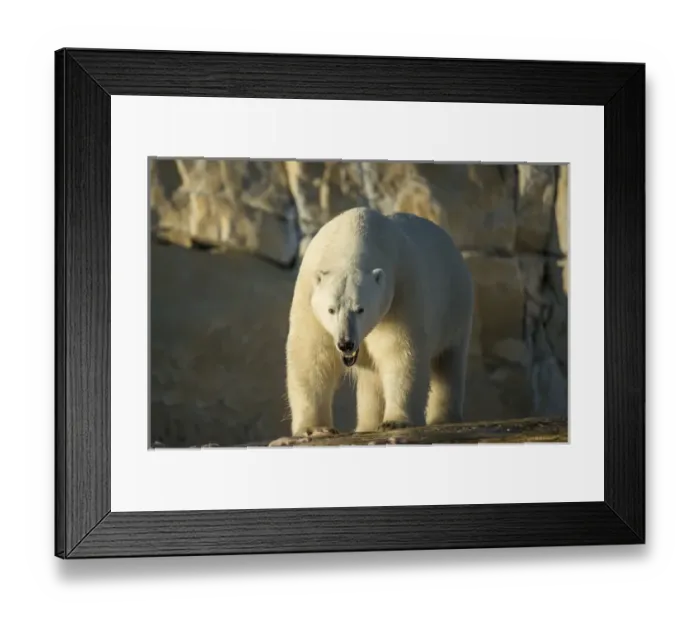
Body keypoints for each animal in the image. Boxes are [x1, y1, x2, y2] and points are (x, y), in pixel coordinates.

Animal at [278, 206, 474, 442]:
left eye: (360, 308)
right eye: (331, 309)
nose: (346, 343)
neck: (352, 234)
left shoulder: (400, 292)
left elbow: (400, 352)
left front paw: (395, 421)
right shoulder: (308, 297)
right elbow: (312, 356)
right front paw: (314, 428)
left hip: (455, 305)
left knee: (448, 361)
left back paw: (443, 418)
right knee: (371, 379)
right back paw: (366, 425)